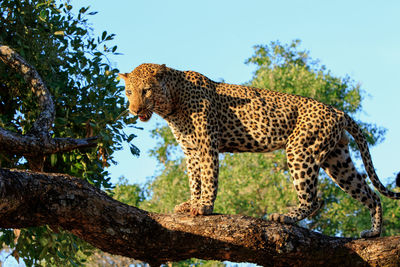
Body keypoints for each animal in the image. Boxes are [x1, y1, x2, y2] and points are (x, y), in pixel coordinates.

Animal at [119, 63, 400, 239]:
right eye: (129, 92)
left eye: (146, 90)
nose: (134, 110)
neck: (171, 104)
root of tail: (337, 110)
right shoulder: (190, 150)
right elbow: (194, 180)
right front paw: (191, 203)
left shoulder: (206, 145)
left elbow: (208, 178)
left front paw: (205, 207)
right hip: (337, 159)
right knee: (370, 194)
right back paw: (373, 232)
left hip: (300, 150)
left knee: (313, 199)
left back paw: (285, 217)